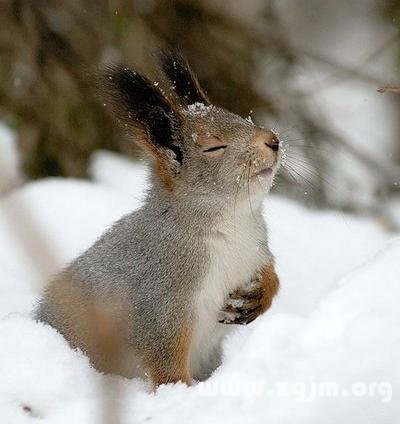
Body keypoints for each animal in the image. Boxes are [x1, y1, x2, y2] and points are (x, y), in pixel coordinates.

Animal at [35, 51, 282, 386]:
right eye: (213, 147)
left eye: (243, 118)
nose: (273, 140)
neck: (232, 224)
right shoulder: (161, 299)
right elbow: (165, 359)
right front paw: (180, 391)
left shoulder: (256, 249)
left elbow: (271, 274)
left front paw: (259, 295)